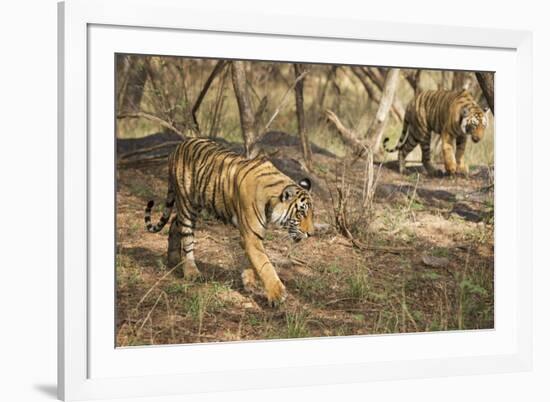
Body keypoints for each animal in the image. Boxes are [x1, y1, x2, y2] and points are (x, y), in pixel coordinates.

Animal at [143, 138, 314, 304]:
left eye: (312, 214)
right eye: (301, 213)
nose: (311, 234)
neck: (271, 200)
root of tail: (177, 147)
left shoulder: (250, 235)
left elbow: (253, 260)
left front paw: (249, 282)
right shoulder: (252, 236)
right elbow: (265, 264)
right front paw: (277, 294)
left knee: (173, 222)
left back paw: (173, 260)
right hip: (187, 205)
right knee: (187, 239)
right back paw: (191, 272)